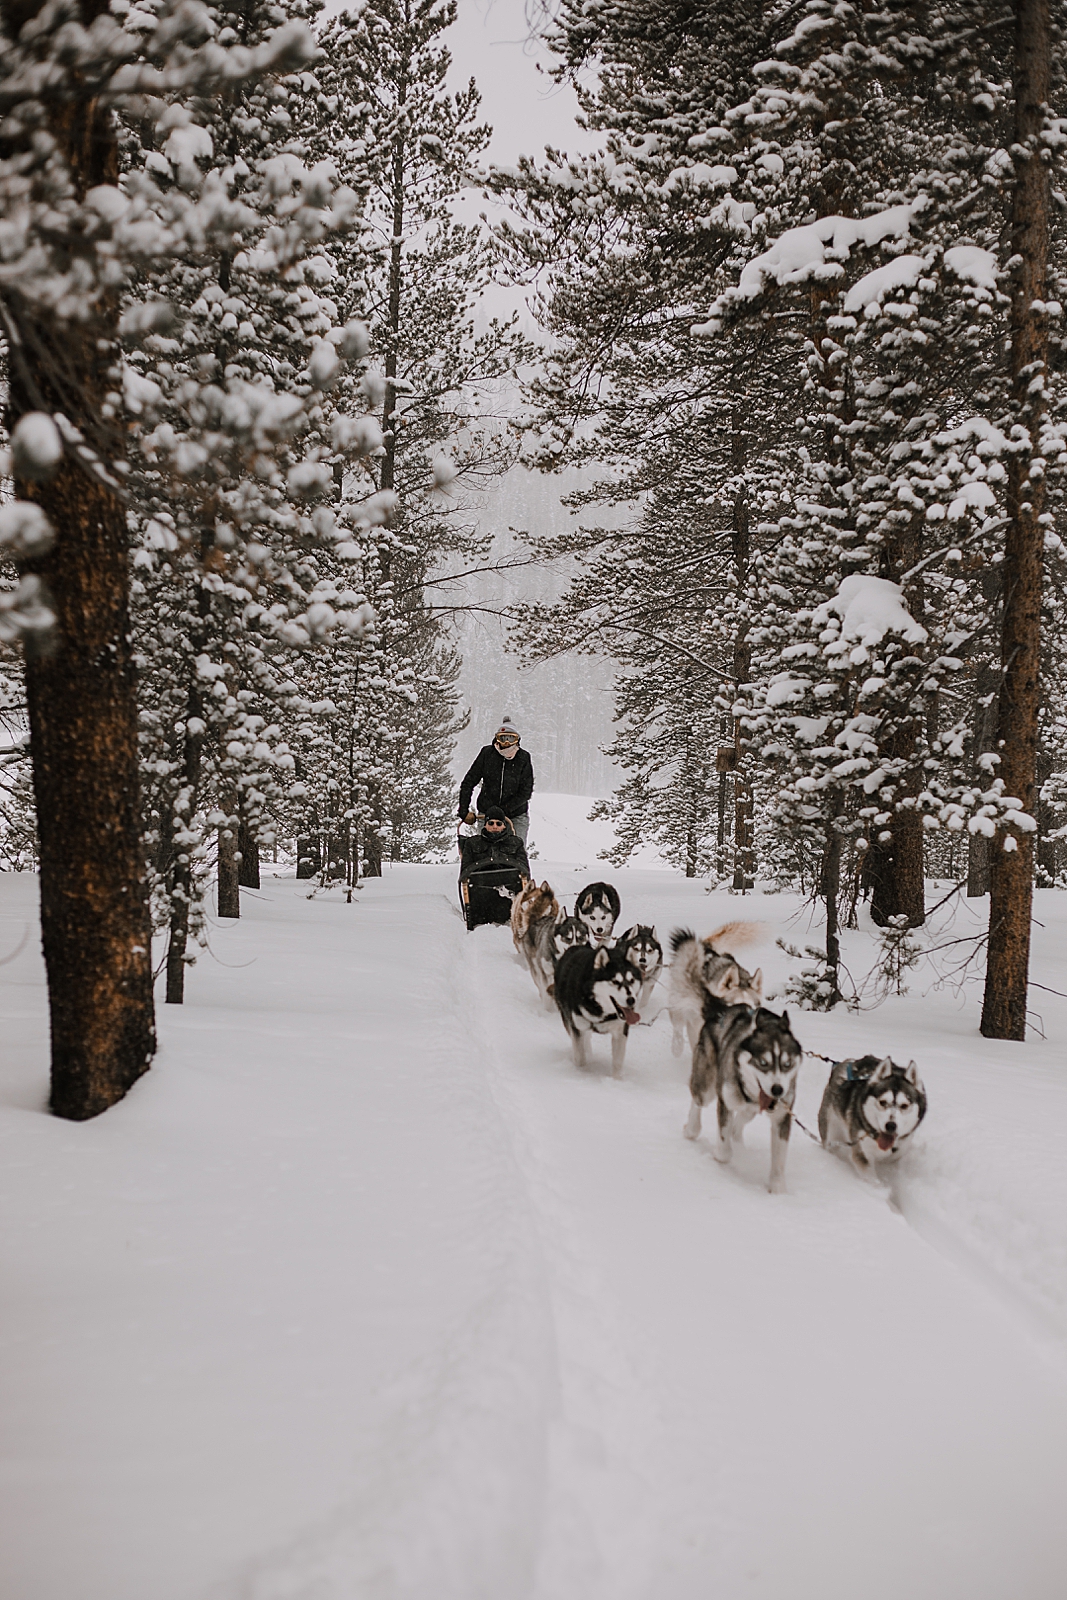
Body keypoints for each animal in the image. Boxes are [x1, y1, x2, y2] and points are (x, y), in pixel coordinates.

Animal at [556, 940, 646, 1081]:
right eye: (615, 981)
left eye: (631, 980)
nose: (631, 1000)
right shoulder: (577, 1028)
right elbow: (580, 1057)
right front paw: (581, 1073)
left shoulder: (620, 1031)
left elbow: (617, 1062)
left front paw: (616, 1081)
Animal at [684, 1004, 799, 1196]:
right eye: (763, 1062)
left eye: (787, 1064)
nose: (778, 1090)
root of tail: (722, 1009)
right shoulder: (725, 1102)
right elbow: (724, 1150)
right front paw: (720, 1154)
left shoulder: (782, 1117)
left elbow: (779, 1159)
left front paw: (777, 1187)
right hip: (706, 1086)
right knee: (698, 1100)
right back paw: (691, 1129)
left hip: (750, 1111)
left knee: (740, 1121)